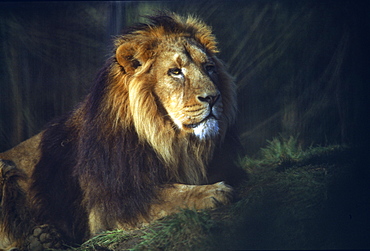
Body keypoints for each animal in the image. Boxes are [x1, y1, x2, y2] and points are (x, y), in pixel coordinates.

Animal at [0, 12, 249, 249]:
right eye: (175, 72)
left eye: (209, 68)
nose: (213, 97)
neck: (172, 142)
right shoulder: (108, 207)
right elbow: (170, 195)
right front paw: (211, 192)